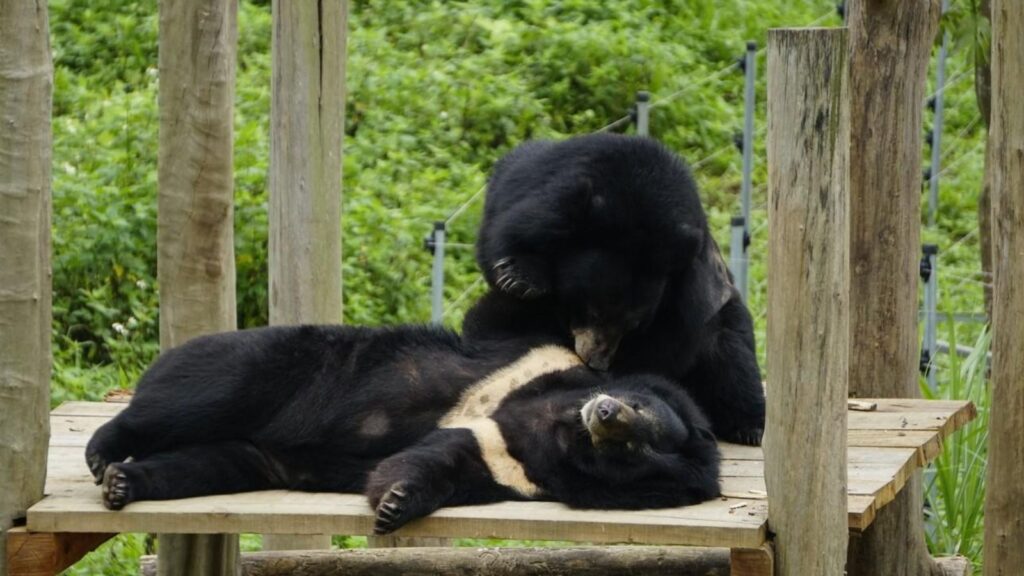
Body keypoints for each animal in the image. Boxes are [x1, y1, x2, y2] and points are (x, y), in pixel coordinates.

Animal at [84, 324, 721, 534]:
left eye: (631, 449)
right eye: (641, 413)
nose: (606, 414)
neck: (560, 426)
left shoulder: (518, 462)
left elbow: (448, 457)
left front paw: (392, 502)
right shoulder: (536, 376)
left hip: (256, 454)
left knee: (208, 462)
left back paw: (125, 483)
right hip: (274, 367)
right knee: (193, 394)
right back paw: (103, 450)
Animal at [463, 133, 766, 446]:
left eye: (633, 324)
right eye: (592, 310)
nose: (597, 362)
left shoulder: (690, 294)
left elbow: (669, 345)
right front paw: (519, 277)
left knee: (731, 354)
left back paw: (747, 427)